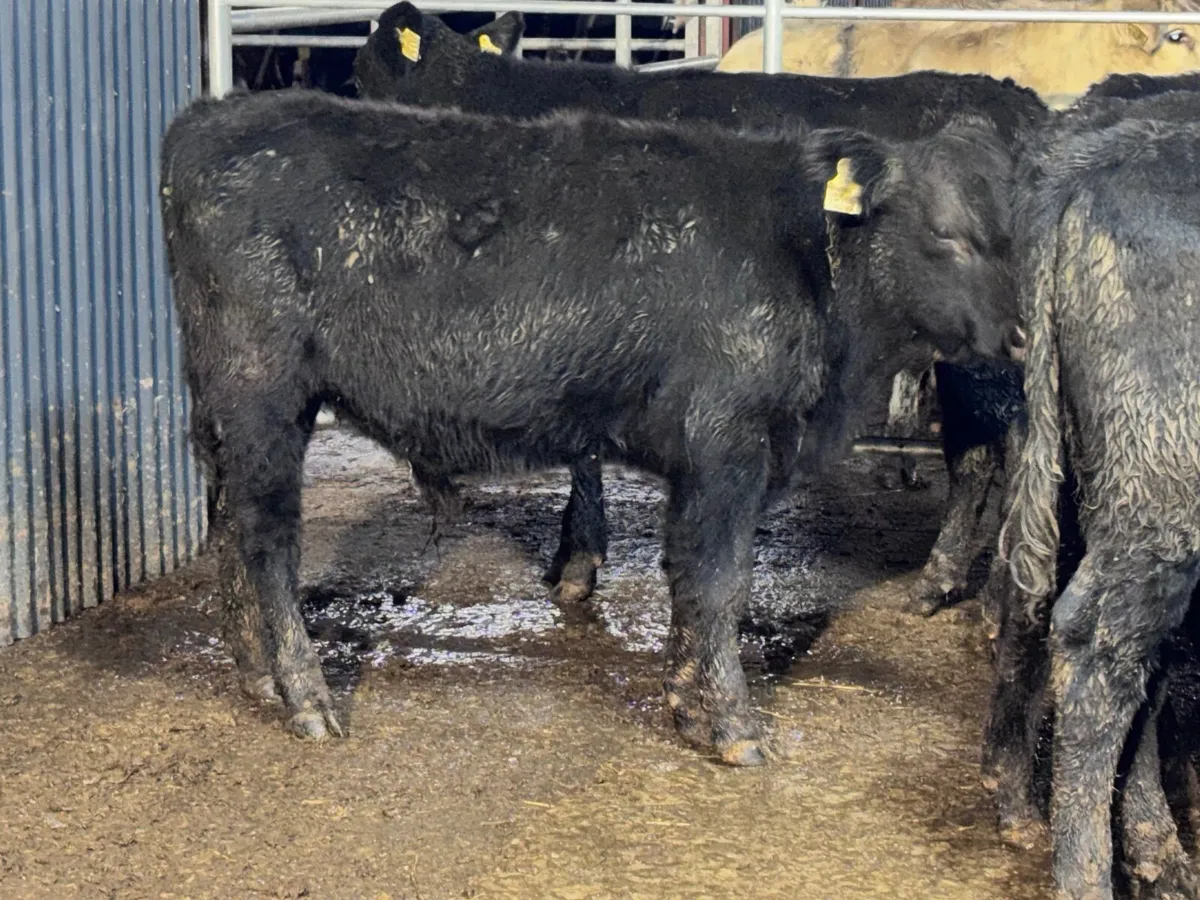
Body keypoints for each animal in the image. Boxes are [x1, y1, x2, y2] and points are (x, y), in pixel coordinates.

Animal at [160, 87, 1021, 765]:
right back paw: (305, 696)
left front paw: (686, 703)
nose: (1019, 335)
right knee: (267, 540)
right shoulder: (729, 441)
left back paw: (255, 675)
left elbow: (690, 581)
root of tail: (215, 117)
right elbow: (718, 581)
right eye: (945, 234)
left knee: (232, 527)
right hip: (262, 395)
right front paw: (732, 725)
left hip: (229, 409)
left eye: (1019, 234)